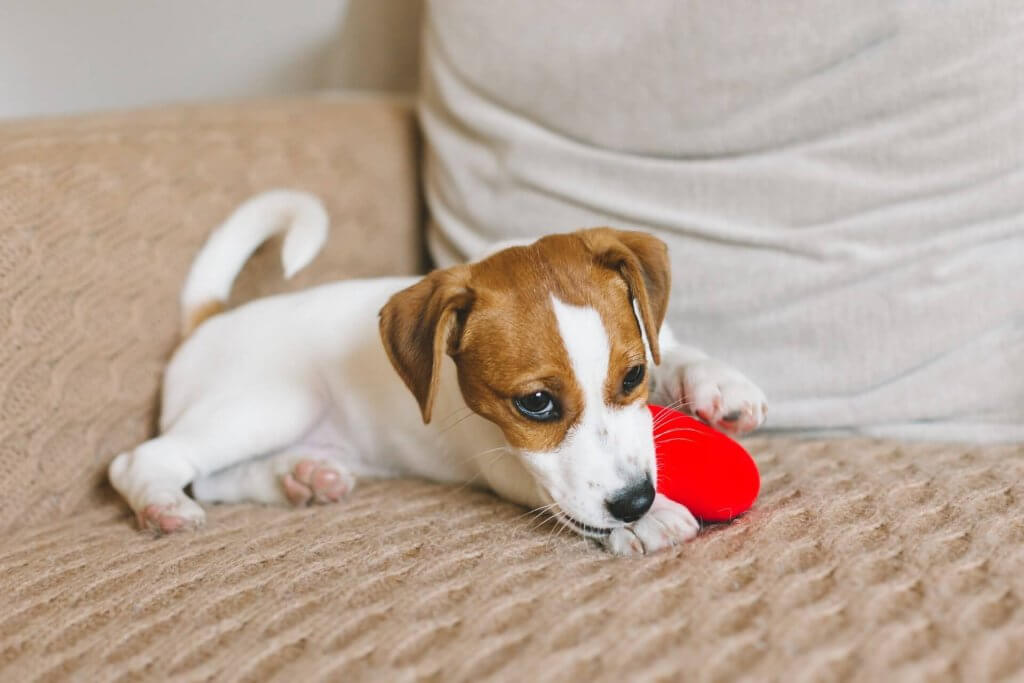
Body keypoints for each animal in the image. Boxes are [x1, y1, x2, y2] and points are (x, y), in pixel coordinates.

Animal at [112, 191, 770, 557]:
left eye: (633, 377)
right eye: (535, 403)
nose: (635, 500)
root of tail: (207, 321)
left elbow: (673, 347)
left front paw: (717, 382)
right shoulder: (503, 458)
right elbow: (557, 493)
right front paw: (650, 518)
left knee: (211, 478)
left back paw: (299, 478)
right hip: (275, 402)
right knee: (147, 461)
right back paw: (162, 504)